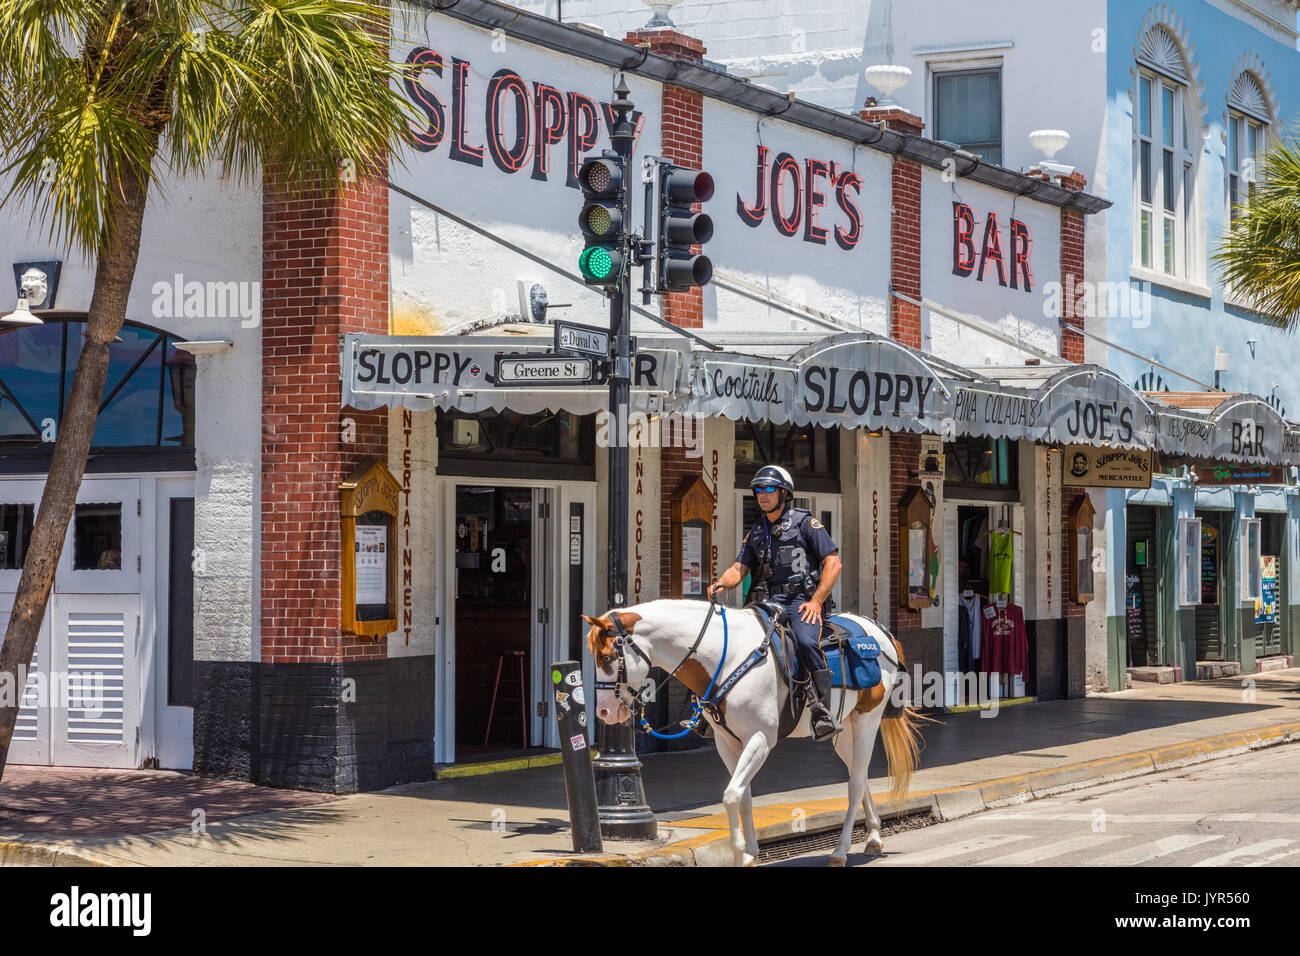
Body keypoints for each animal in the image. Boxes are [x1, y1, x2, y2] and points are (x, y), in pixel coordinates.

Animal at [590, 600, 925, 868]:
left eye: (607, 657)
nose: (604, 712)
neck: (726, 657)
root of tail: (878, 630)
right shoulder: (727, 743)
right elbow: (744, 796)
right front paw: (750, 853)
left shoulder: (760, 739)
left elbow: (731, 795)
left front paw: (739, 852)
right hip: (844, 730)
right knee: (861, 774)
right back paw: (873, 837)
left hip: (868, 720)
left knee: (855, 784)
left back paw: (840, 851)